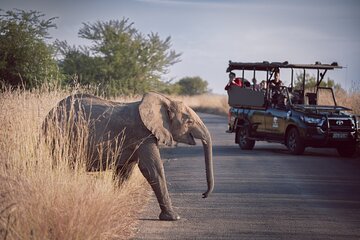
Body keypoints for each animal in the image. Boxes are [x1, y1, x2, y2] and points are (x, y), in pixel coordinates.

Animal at [43, 92, 215, 221]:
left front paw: (115, 202)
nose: (203, 195)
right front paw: (173, 218)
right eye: (189, 121)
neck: (164, 100)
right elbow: (153, 169)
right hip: (58, 136)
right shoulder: (142, 134)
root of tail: (49, 113)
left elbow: (125, 171)